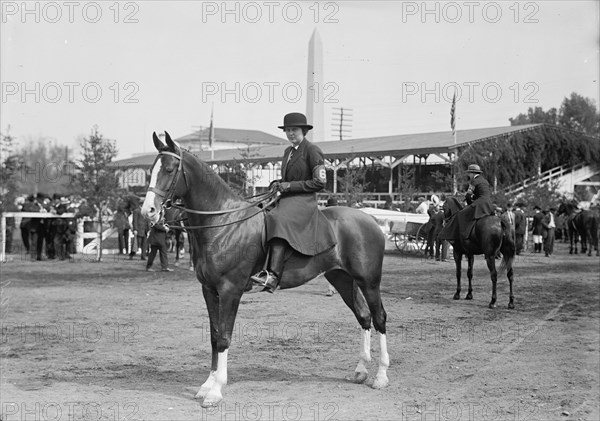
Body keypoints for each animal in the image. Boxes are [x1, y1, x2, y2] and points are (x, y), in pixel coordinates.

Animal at [141, 132, 390, 406]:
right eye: (150, 170)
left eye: (169, 169)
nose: (148, 211)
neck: (224, 222)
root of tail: (370, 219)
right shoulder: (209, 290)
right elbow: (214, 335)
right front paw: (207, 385)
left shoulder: (230, 290)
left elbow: (224, 336)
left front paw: (216, 390)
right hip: (342, 279)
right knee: (363, 316)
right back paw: (360, 370)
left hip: (369, 281)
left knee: (379, 317)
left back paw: (381, 377)